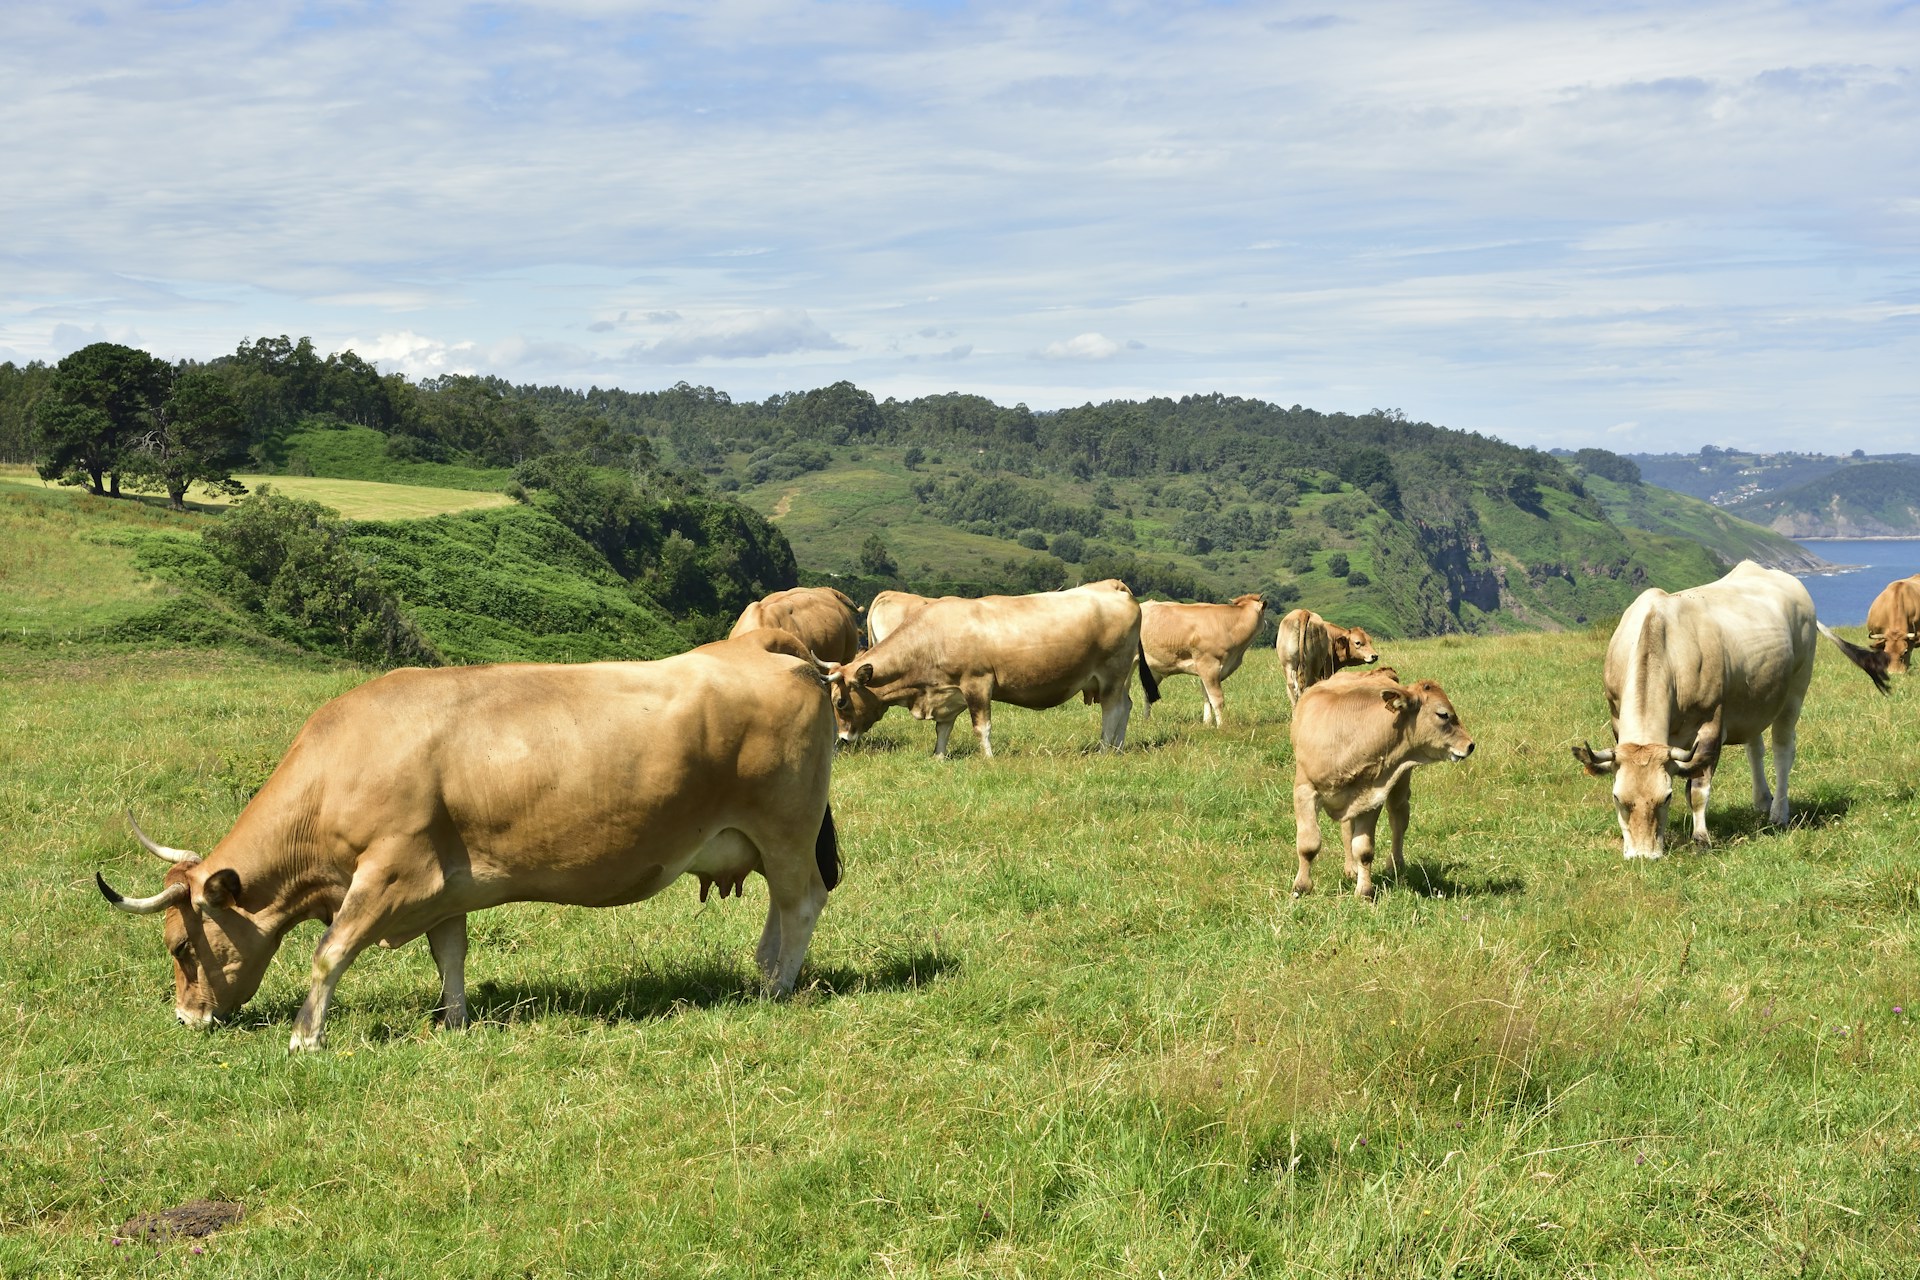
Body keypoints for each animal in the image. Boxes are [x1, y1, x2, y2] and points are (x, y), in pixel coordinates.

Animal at [96, 634, 840, 1051]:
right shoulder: (444, 889)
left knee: (801, 902)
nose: (186, 1019)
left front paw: (305, 1036)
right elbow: (449, 955)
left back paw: (776, 989)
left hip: (787, 829)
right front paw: (453, 1022)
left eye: (182, 946)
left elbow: (328, 951)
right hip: (763, 838)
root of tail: (769, 648)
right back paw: (763, 974)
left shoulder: (395, 870)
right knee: (779, 909)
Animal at [823, 583, 1160, 758]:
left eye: (840, 701)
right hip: (1121, 677)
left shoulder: (978, 685)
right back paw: (1118, 748)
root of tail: (1112, 587)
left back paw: (1104, 750)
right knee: (1126, 706)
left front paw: (988, 758)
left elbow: (981, 727)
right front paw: (939, 757)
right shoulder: (947, 693)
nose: (843, 738)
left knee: (1112, 711)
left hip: (1112, 673)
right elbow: (942, 728)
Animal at [1139, 594, 1268, 726]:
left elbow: (1207, 698)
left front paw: (1207, 723)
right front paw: (1221, 725)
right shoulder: (1209, 666)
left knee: (1148, 694)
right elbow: (1217, 699)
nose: (1266, 624)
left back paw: (1146, 721)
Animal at [1290, 668, 1474, 900]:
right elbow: (1309, 844)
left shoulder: (1371, 798)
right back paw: (1350, 869)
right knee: (1347, 828)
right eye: (1443, 714)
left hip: (1399, 784)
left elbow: (1364, 849)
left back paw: (1395, 865)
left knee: (1398, 819)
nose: (1470, 745)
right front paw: (1301, 887)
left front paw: (1365, 892)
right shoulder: (1304, 790)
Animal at [1571, 560, 1891, 860]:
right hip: (1755, 699)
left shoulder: (1711, 724)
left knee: (1783, 750)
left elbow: (1698, 791)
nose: (1643, 855)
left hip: (1796, 688)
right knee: (1755, 748)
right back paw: (1762, 800)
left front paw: (1701, 839)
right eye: (1617, 797)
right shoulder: (1617, 719)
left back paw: (1779, 813)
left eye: (1666, 797)